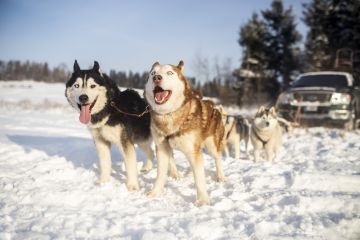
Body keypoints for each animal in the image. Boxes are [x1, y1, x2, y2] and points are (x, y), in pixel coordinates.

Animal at [65, 60, 155, 191]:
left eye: (93, 86)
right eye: (77, 86)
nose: (83, 97)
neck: (109, 108)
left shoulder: (125, 143)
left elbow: (130, 166)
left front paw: (132, 187)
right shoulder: (101, 142)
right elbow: (105, 164)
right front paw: (103, 183)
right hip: (142, 140)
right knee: (151, 152)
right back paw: (147, 168)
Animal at [144, 61, 225, 205]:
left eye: (170, 72)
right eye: (153, 73)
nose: (156, 78)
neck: (169, 115)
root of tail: (214, 106)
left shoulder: (194, 151)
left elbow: (199, 179)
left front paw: (203, 200)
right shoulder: (162, 148)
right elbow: (160, 175)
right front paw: (155, 193)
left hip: (212, 146)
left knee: (217, 158)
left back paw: (220, 176)